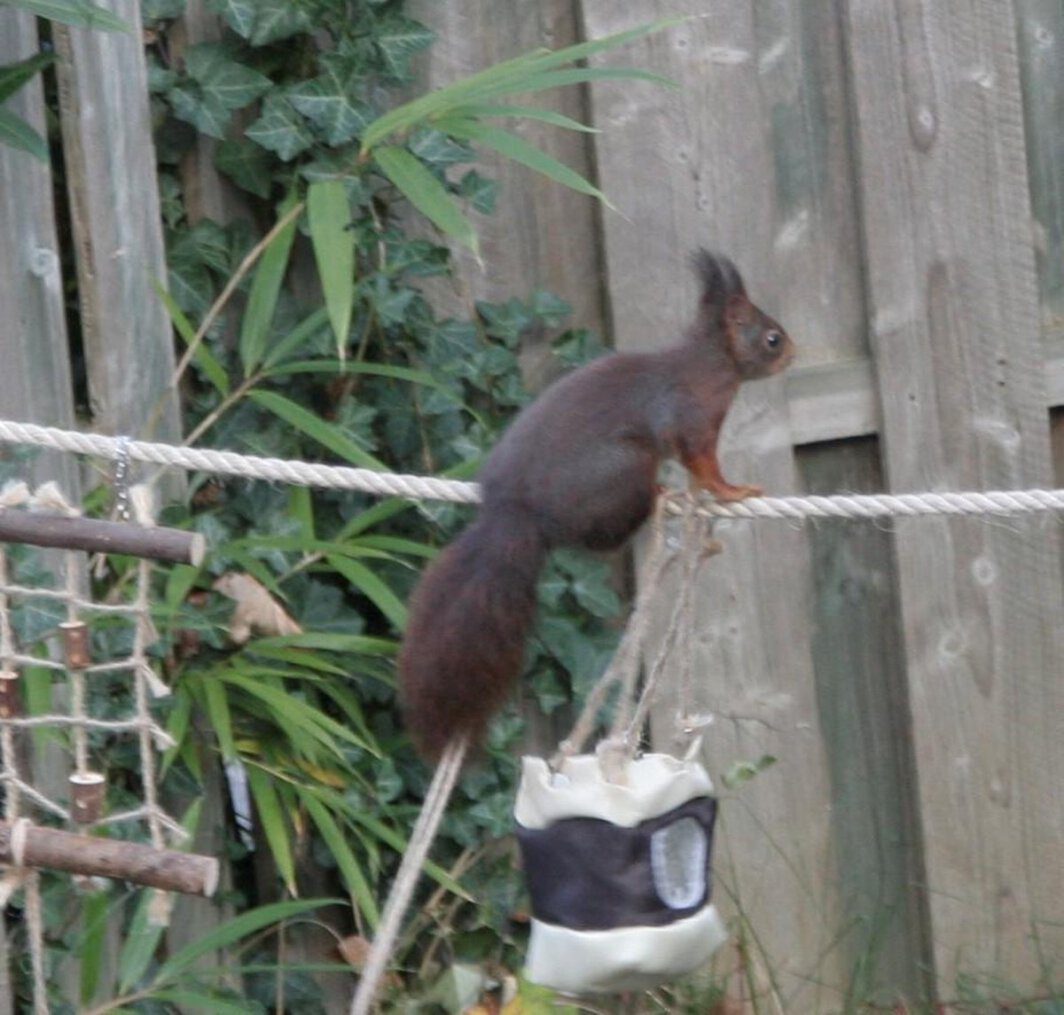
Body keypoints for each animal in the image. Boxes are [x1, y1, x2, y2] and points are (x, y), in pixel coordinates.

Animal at [402, 251, 795, 757]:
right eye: (771, 338)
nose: (793, 352)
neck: (712, 361)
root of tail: (515, 509)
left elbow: (697, 472)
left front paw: (706, 494)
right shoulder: (693, 418)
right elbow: (703, 463)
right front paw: (732, 491)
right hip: (622, 469)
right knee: (605, 538)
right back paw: (656, 498)